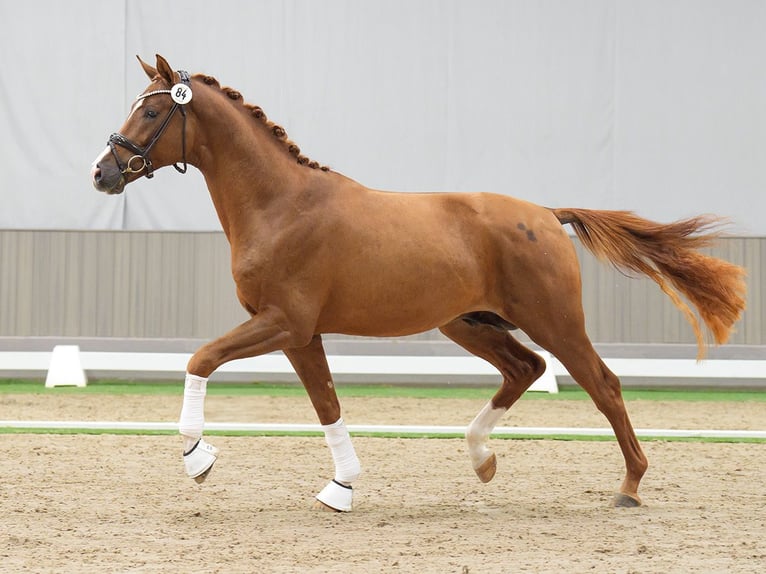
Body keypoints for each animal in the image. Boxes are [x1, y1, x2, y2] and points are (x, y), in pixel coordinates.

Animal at [90, 55, 744, 512]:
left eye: (152, 111)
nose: (102, 173)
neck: (280, 205)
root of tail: (545, 214)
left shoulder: (283, 323)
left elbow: (201, 359)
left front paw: (197, 457)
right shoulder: (299, 335)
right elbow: (326, 404)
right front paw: (341, 488)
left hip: (554, 321)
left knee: (602, 384)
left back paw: (629, 486)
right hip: (468, 323)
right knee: (524, 369)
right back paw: (481, 459)